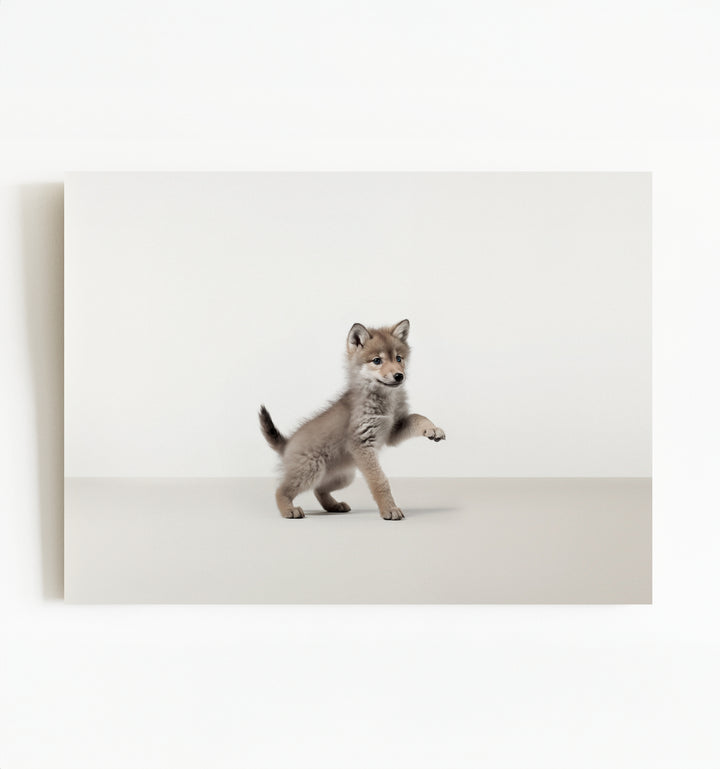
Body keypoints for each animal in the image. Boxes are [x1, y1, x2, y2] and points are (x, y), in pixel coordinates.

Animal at [259, 319, 445, 520]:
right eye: (377, 360)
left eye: (398, 358)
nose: (399, 376)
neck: (384, 400)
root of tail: (287, 443)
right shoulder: (363, 444)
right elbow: (380, 481)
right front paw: (389, 509)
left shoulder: (393, 430)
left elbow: (418, 417)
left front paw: (432, 429)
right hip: (311, 471)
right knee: (281, 490)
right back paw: (289, 510)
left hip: (343, 477)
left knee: (319, 490)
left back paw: (334, 505)